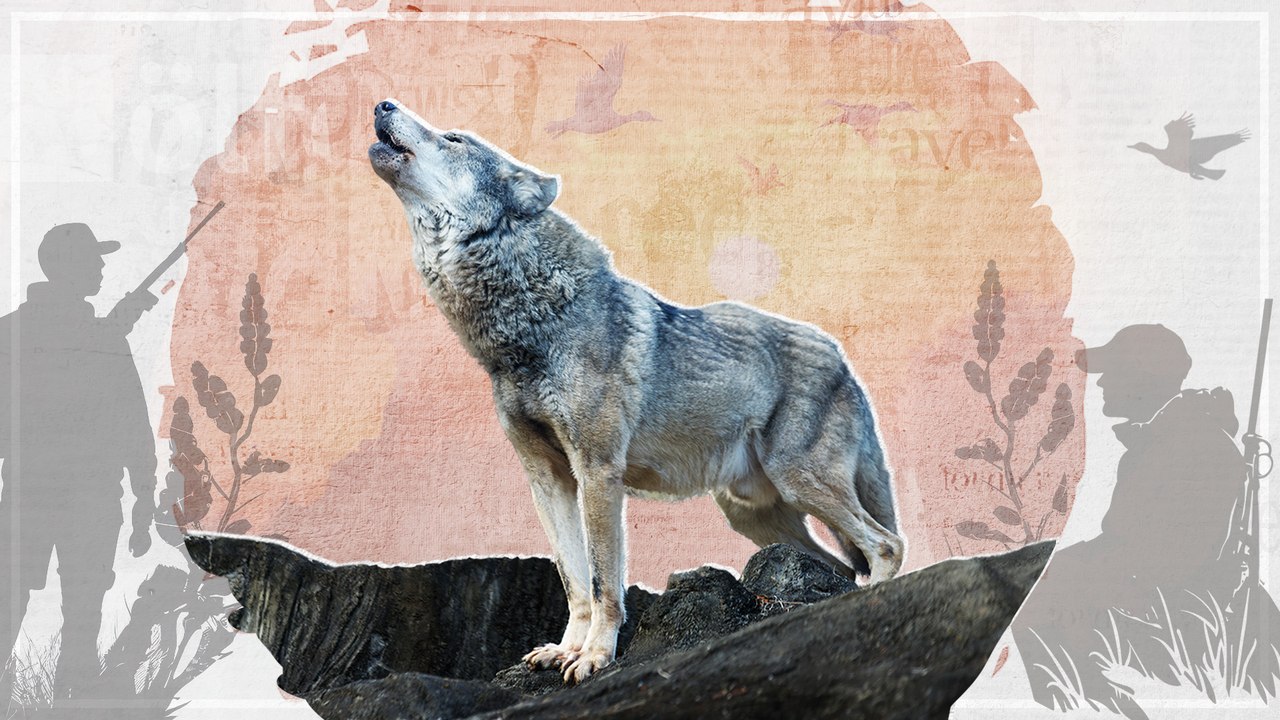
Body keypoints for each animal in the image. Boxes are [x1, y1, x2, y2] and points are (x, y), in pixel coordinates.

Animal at [367, 99, 904, 683]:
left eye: (454, 138)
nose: (382, 103)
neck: (525, 327)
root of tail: (842, 356)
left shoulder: (599, 472)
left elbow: (605, 583)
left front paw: (595, 657)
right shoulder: (547, 480)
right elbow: (574, 582)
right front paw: (565, 650)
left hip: (799, 482)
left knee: (887, 545)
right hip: (752, 514)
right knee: (840, 564)